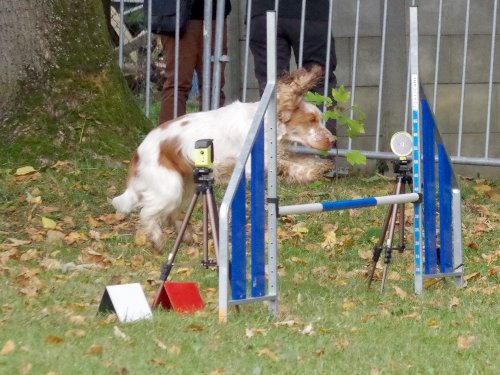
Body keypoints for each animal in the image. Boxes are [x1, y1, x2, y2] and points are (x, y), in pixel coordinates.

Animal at [112, 66, 332, 251]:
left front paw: (321, 167)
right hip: (170, 187)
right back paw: (158, 241)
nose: (332, 140)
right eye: (311, 120)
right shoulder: (256, 164)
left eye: (320, 119)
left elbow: (297, 160)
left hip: (186, 185)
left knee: (171, 213)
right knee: (147, 213)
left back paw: (187, 237)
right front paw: (315, 170)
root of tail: (138, 152)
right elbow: (288, 165)